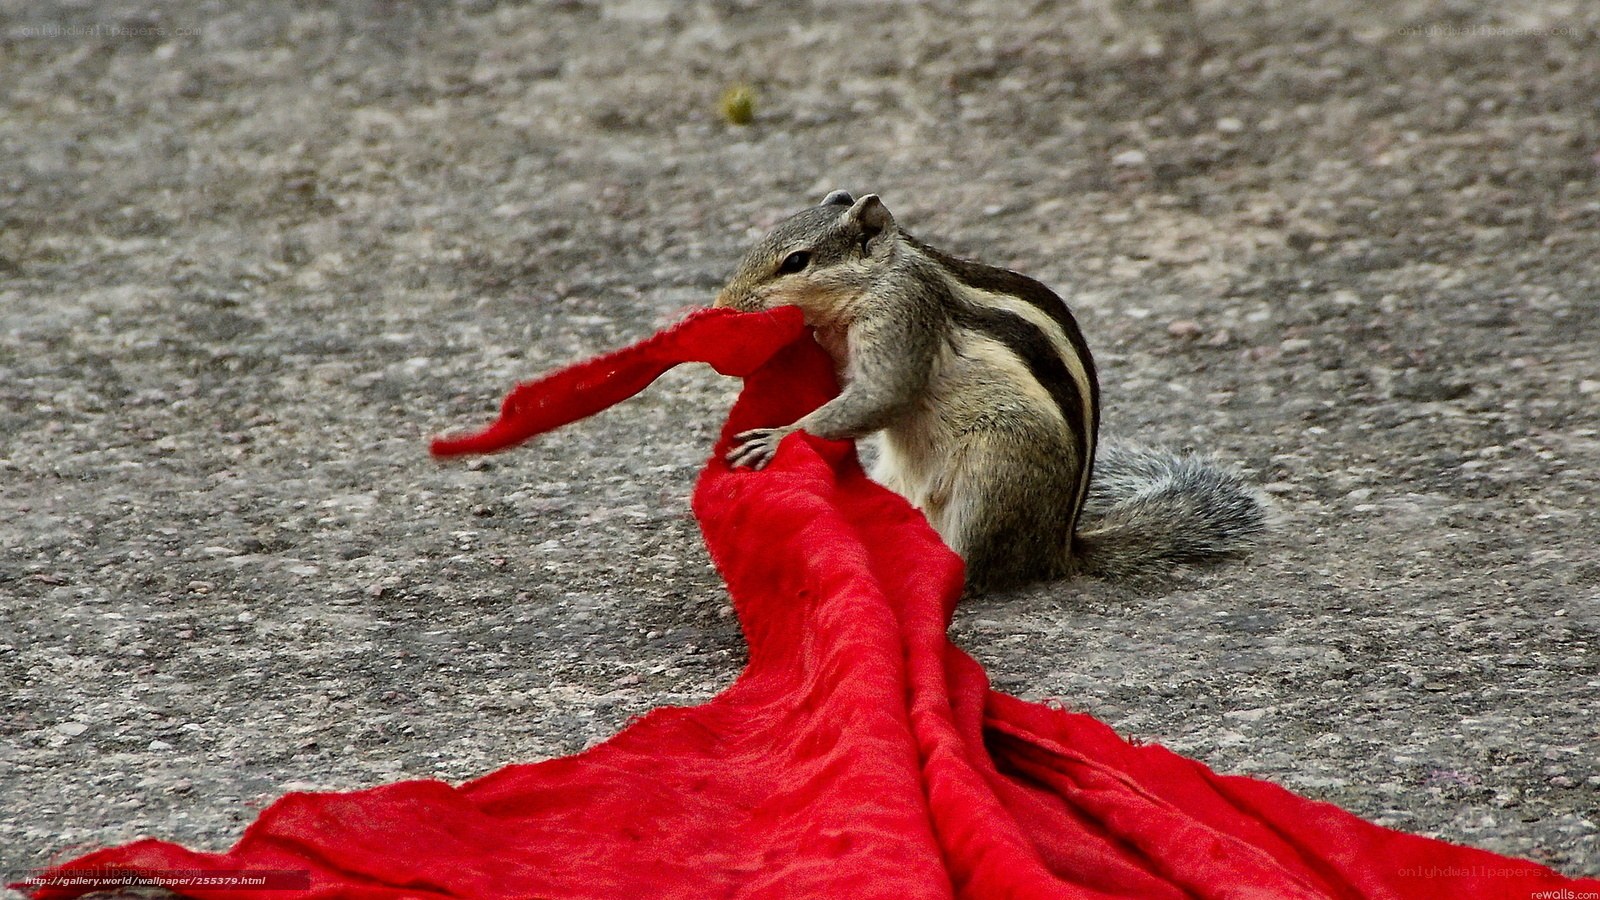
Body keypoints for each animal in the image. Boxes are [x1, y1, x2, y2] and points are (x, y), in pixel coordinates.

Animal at [714, 190, 1265, 591]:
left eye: (796, 262)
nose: (723, 305)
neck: (885, 271)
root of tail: (1058, 548)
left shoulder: (902, 315)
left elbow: (883, 394)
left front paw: (777, 436)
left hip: (994, 471)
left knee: (977, 569)